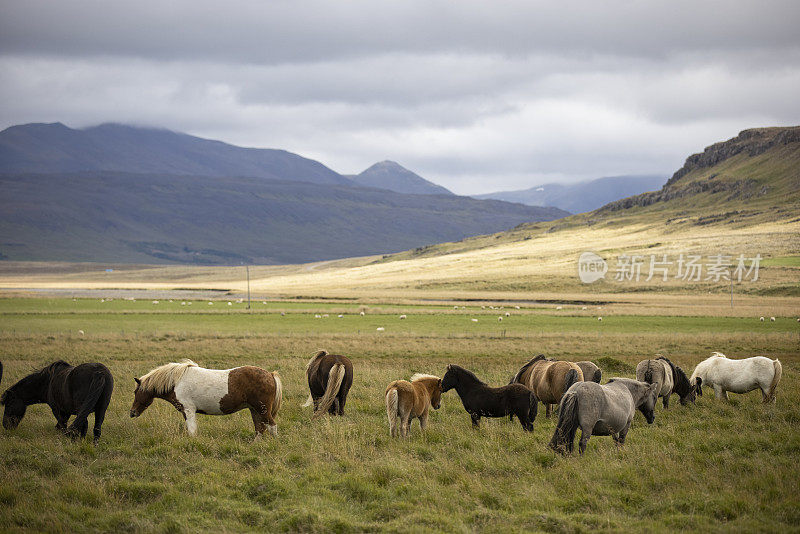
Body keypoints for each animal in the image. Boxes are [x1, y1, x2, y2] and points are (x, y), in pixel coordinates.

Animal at [130, 360, 282, 440]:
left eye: (136, 392)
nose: (132, 413)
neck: (177, 381)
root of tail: (270, 374)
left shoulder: (188, 410)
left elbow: (191, 430)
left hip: (262, 409)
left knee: (271, 425)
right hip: (254, 409)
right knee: (259, 427)